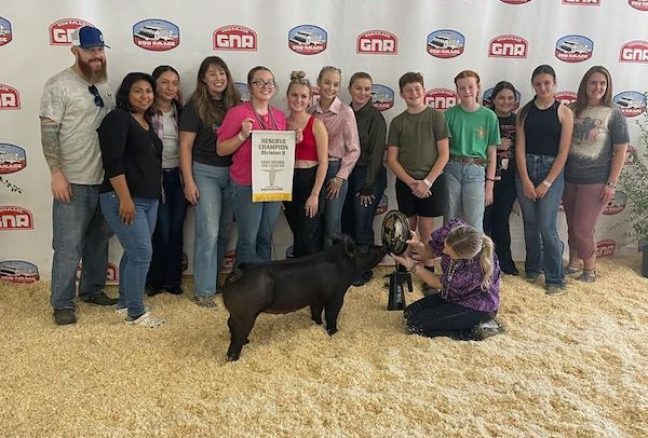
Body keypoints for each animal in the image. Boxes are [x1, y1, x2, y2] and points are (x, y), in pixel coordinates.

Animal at [223, 238, 384, 362]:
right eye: (365, 250)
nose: (383, 247)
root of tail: (238, 273)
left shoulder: (317, 297)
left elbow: (316, 311)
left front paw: (317, 324)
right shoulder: (337, 295)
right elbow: (331, 313)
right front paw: (333, 332)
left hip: (235, 313)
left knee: (230, 324)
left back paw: (246, 342)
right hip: (246, 315)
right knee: (237, 335)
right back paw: (233, 358)